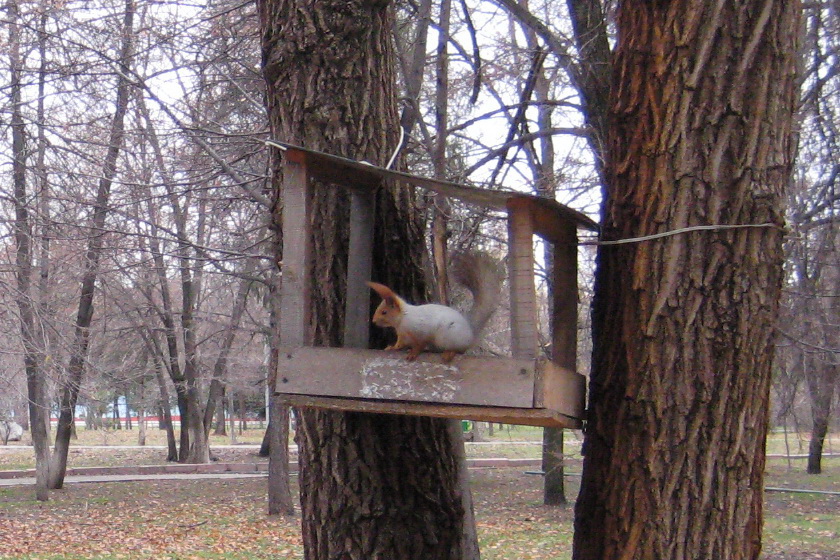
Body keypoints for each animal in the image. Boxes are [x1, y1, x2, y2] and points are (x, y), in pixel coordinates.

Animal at [367, 251, 503, 363]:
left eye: (384, 312)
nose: (373, 321)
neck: (403, 319)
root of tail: (471, 334)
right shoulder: (402, 335)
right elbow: (400, 344)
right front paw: (392, 347)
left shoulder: (421, 331)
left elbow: (420, 343)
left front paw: (414, 352)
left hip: (447, 337)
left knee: (460, 350)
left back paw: (449, 353)